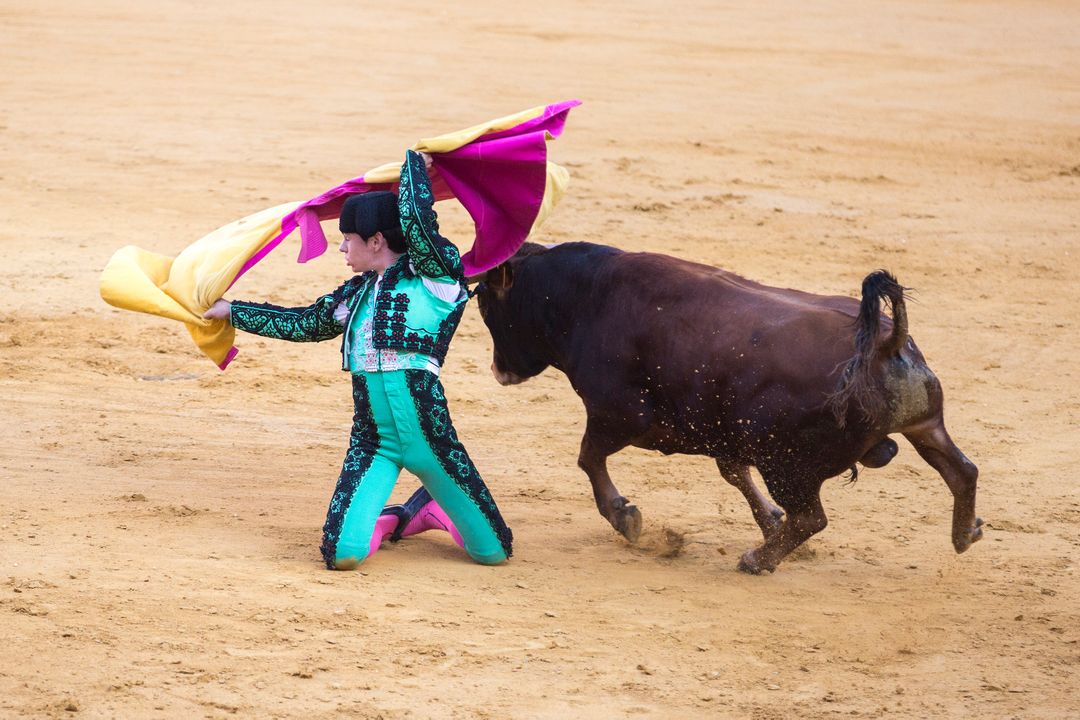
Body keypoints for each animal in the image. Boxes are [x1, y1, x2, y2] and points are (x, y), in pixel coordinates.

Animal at [470, 241, 980, 574]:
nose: (498, 371)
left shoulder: (617, 416)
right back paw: (966, 533)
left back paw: (757, 560)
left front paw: (624, 516)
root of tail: (885, 342)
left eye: (489, 308)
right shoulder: (724, 434)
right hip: (925, 426)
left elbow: (588, 457)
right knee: (962, 471)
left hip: (786, 464)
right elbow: (734, 474)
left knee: (812, 517)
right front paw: (769, 520)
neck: (584, 298)